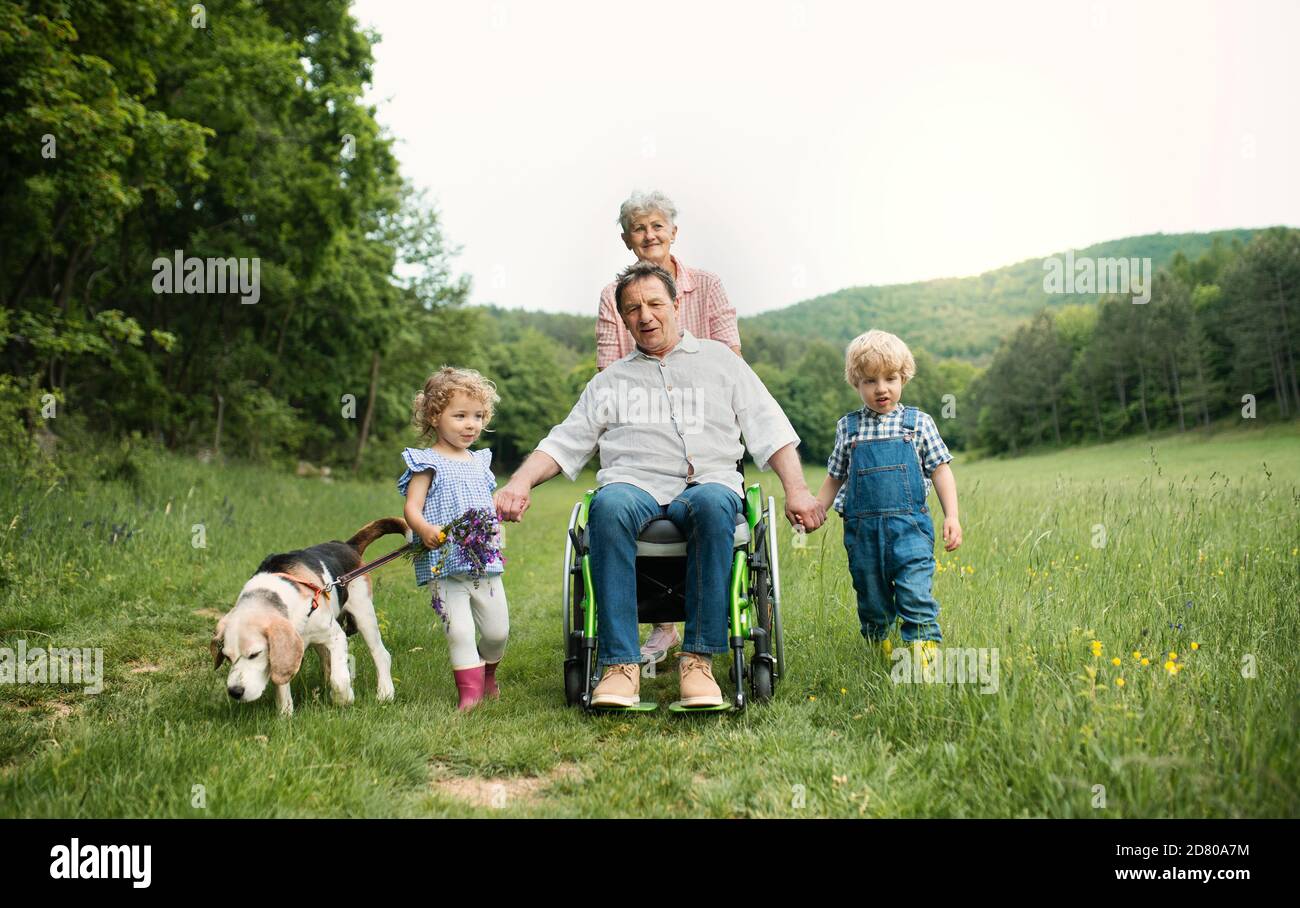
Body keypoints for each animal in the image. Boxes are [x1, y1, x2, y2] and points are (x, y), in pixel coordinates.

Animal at [210, 515, 408, 712]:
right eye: (227, 657)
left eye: (255, 654)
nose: (234, 692)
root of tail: (347, 546)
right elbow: (283, 684)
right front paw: (285, 714)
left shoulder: (336, 636)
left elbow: (339, 679)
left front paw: (344, 699)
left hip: (364, 615)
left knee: (380, 654)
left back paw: (385, 693)